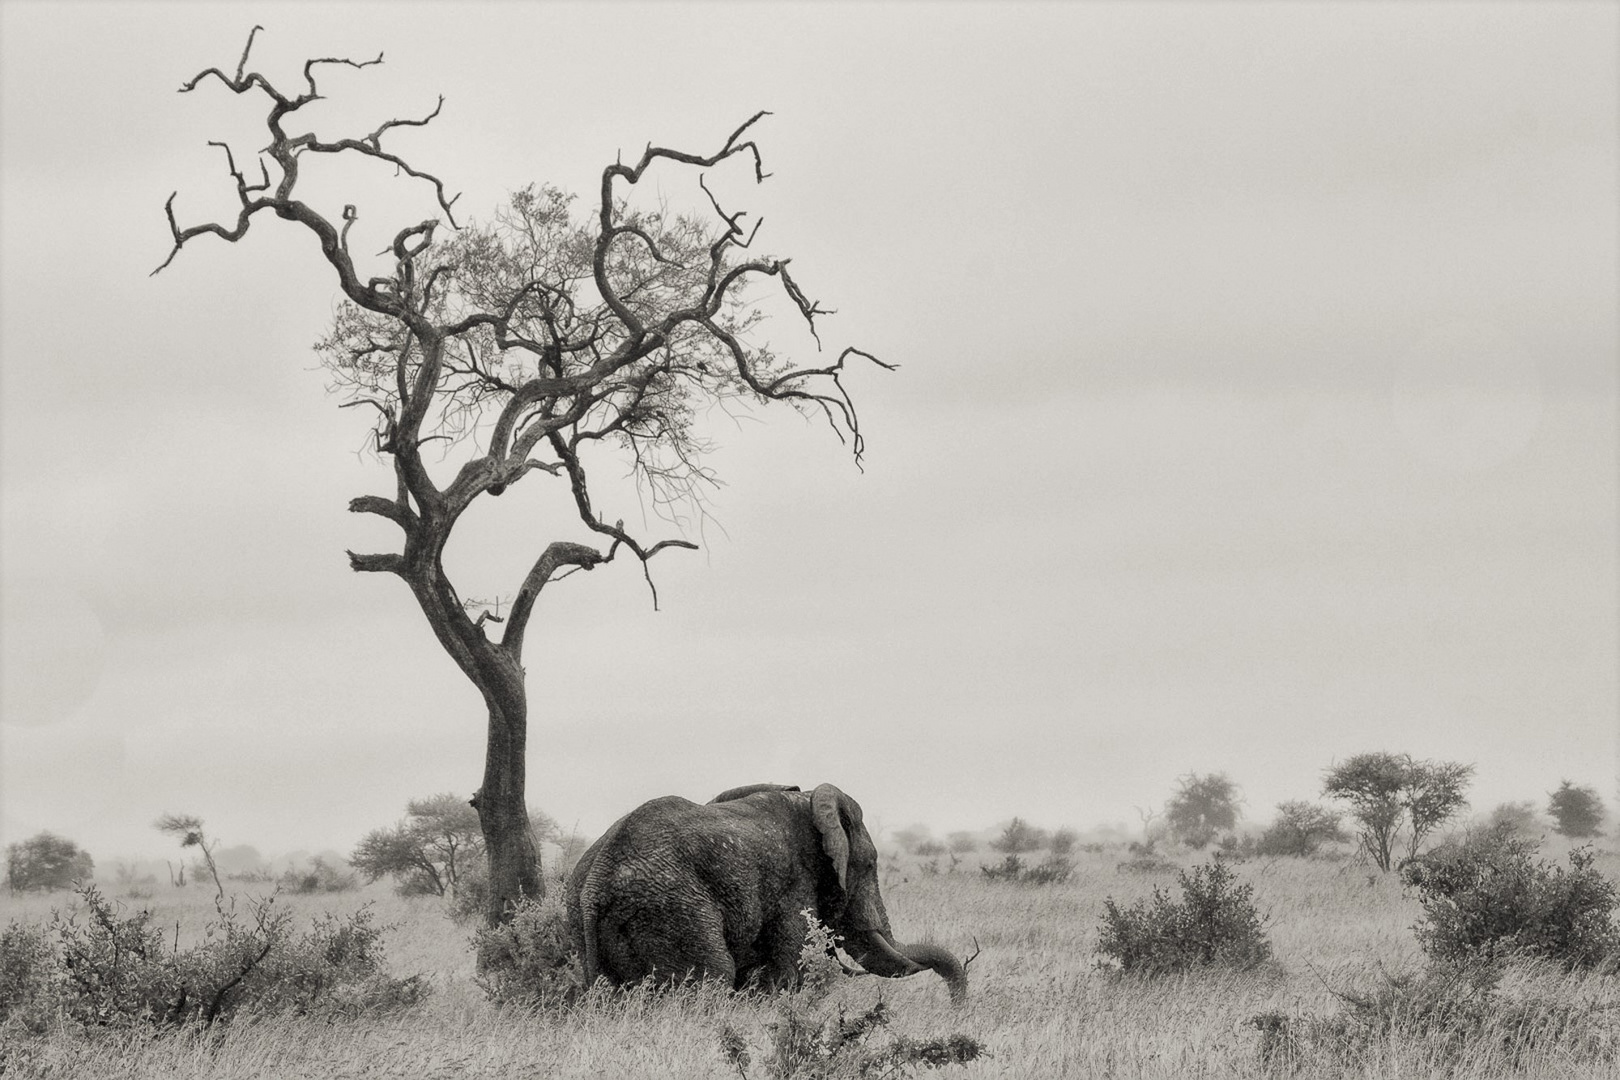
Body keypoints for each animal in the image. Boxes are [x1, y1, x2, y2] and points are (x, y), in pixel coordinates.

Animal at [566, 782, 968, 1003]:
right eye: (870, 865)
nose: (957, 1011)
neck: (809, 802)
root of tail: (597, 878)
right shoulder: (795, 884)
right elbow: (791, 965)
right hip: (671, 907)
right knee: (714, 976)